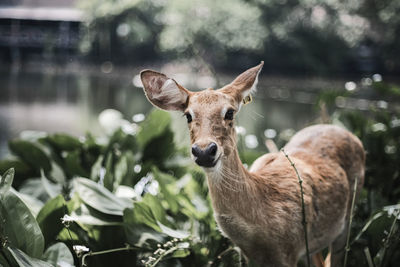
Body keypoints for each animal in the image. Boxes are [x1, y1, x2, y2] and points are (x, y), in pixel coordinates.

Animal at [141, 62, 366, 267]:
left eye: (230, 112)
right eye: (188, 115)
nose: (204, 151)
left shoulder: (290, 250)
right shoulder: (247, 255)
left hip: (347, 219)